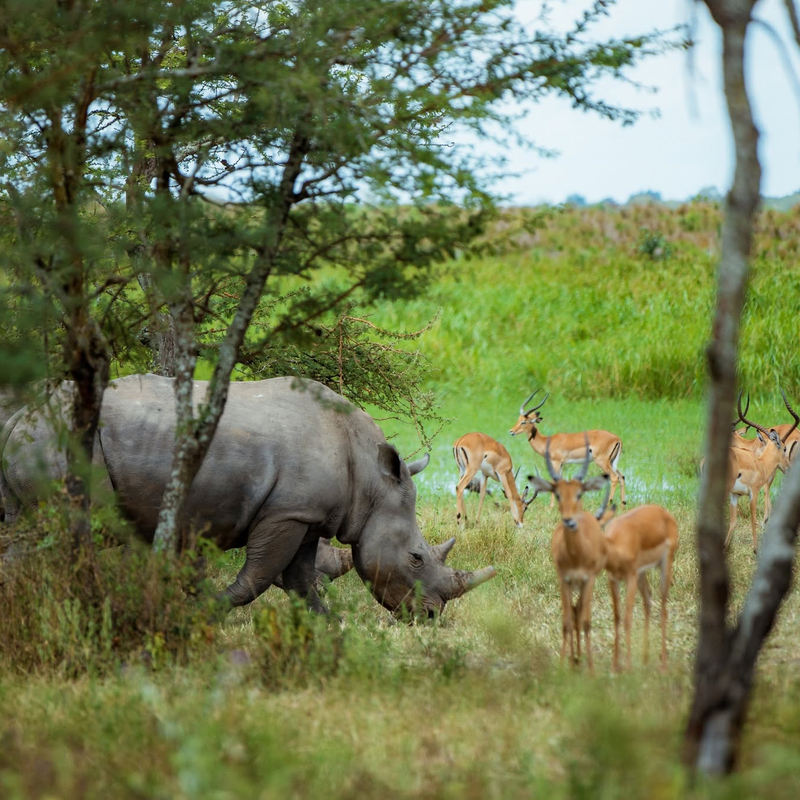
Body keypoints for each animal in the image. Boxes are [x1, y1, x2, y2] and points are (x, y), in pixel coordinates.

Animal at [0, 374, 495, 616]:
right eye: (415, 558)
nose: (430, 617)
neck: (372, 482)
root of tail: (20, 416)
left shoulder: (307, 515)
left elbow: (299, 581)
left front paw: (328, 626)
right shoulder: (286, 513)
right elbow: (258, 576)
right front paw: (204, 609)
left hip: (45, 440)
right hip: (58, 440)